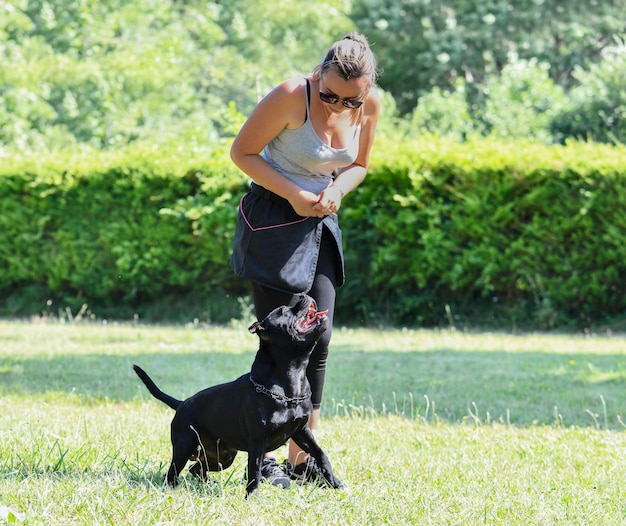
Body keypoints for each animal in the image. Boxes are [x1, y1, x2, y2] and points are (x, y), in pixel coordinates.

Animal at [132, 296, 342, 500]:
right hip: (183, 447)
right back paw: (173, 489)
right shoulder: (257, 441)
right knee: (173, 472)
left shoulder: (301, 431)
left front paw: (333, 482)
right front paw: (252, 498)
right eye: (283, 310)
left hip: (223, 456)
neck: (292, 380)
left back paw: (208, 484)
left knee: (196, 468)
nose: (304, 295)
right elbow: (254, 471)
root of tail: (182, 403)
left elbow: (321, 453)